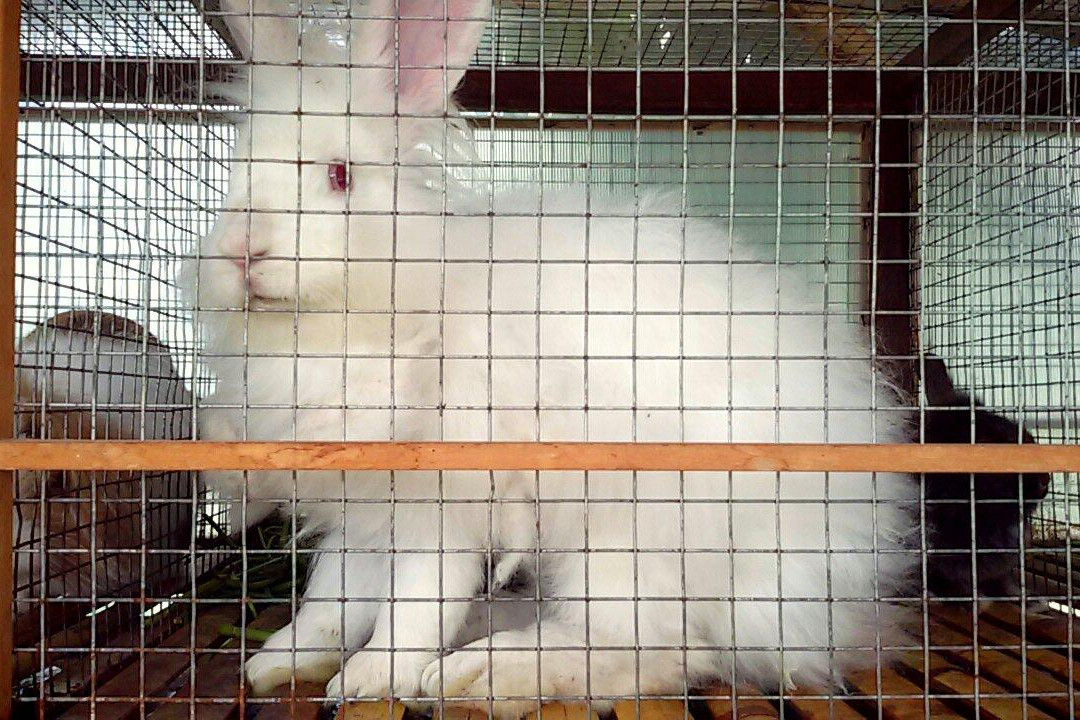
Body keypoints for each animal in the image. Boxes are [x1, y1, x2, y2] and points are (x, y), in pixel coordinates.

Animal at [183, 1, 918, 715]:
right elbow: (331, 597)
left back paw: (485, 675)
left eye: (340, 176)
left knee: (657, 651)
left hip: (630, 542)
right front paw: (277, 662)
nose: (242, 250)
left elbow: (416, 601)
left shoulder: (442, 504)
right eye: (236, 169)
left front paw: (370, 679)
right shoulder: (358, 513)